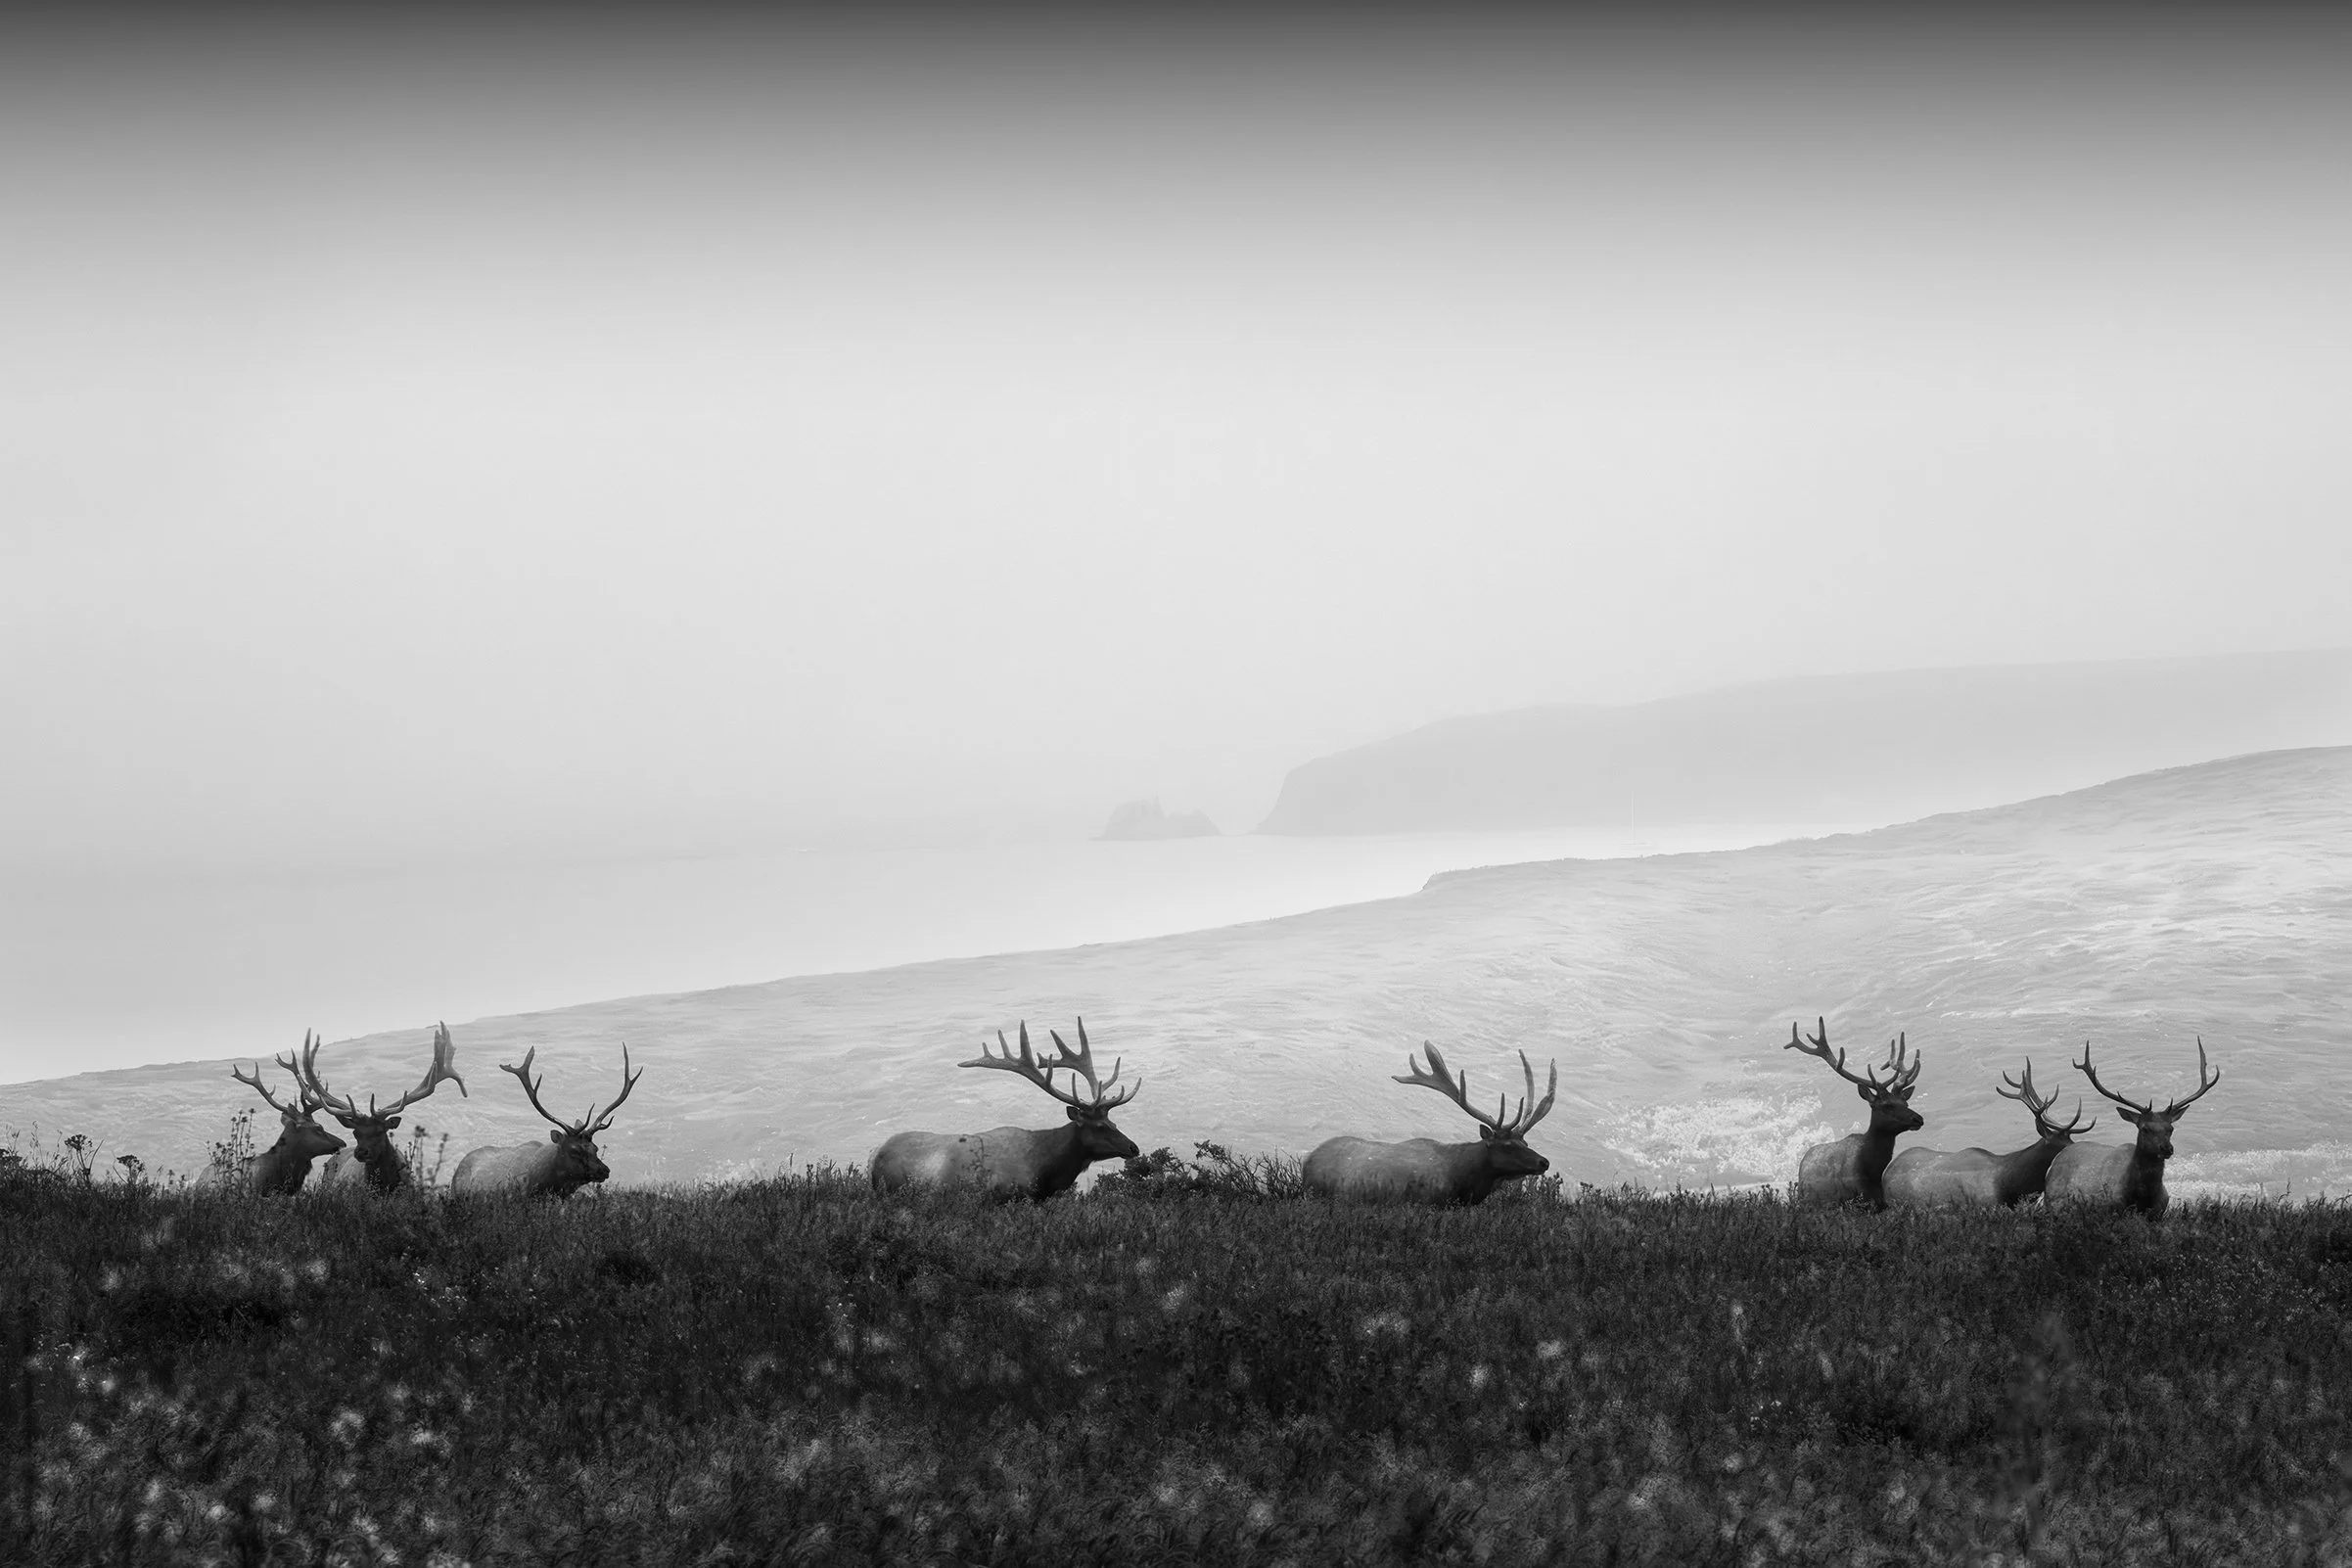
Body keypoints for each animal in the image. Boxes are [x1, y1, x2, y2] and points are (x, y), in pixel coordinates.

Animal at [1785, 1018, 1924, 1209]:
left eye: (1906, 1102)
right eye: (1887, 1105)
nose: (1919, 1118)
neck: (1872, 1172)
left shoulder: (1881, 1203)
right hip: (1806, 1200)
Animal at [2043, 1038, 2220, 1218]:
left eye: (2170, 1129)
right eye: (2145, 1128)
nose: (2167, 1148)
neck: (2142, 1197)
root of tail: (2056, 1159)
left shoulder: (2158, 1213)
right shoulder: (2113, 1209)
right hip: (2051, 1203)